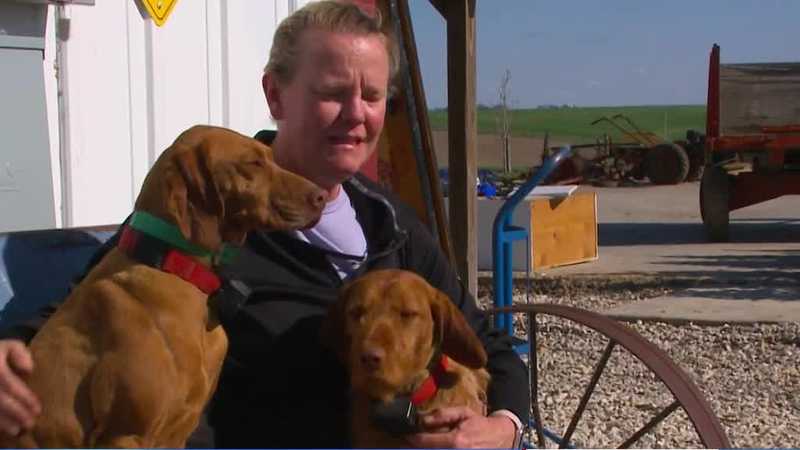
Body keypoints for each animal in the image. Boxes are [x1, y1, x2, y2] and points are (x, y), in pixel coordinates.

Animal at [7, 125, 326, 446]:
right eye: (253, 163)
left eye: (272, 159)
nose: (322, 197)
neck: (179, 271)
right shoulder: (124, 434)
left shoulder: (179, 432)